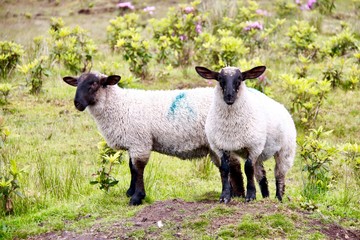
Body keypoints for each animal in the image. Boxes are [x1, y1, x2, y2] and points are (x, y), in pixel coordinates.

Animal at [63, 72, 246, 205]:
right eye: (77, 83)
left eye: (94, 83)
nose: (77, 103)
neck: (119, 105)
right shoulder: (133, 142)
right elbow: (131, 168)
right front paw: (130, 192)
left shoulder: (140, 141)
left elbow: (138, 168)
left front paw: (137, 197)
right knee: (230, 165)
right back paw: (235, 193)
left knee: (233, 165)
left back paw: (237, 194)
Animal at [195, 65, 296, 202]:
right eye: (220, 78)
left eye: (239, 78)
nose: (229, 96)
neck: (231, 127)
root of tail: (282, 107)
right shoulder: (221, 147)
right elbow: (225, 169)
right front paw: (225, 197)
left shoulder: (253, 147)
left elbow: (248, 169)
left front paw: (250, 196)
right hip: (260, 154)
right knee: (261, 176)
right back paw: (266, 197)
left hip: (285, 150)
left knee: (279, 175)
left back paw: (278, 198)